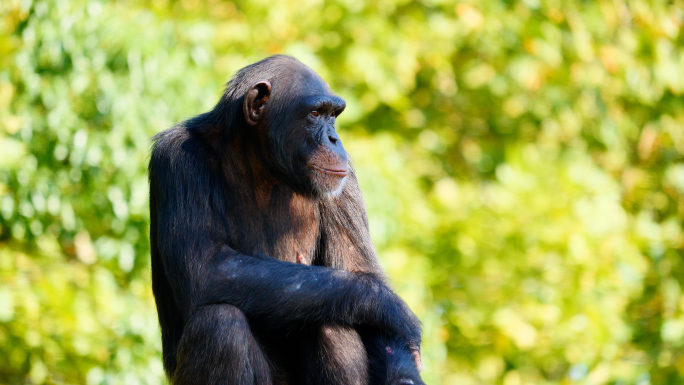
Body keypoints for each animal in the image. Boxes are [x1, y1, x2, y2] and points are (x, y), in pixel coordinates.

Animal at [151, 54, 422, 384]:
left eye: (333, 115)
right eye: (315, 113)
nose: (334, 138)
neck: (260, 164)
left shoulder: (346, 184)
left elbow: (360, 271)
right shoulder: (178, 160)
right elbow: (207, 266)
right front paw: (389, 306)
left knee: (333, 321)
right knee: (219, 325)